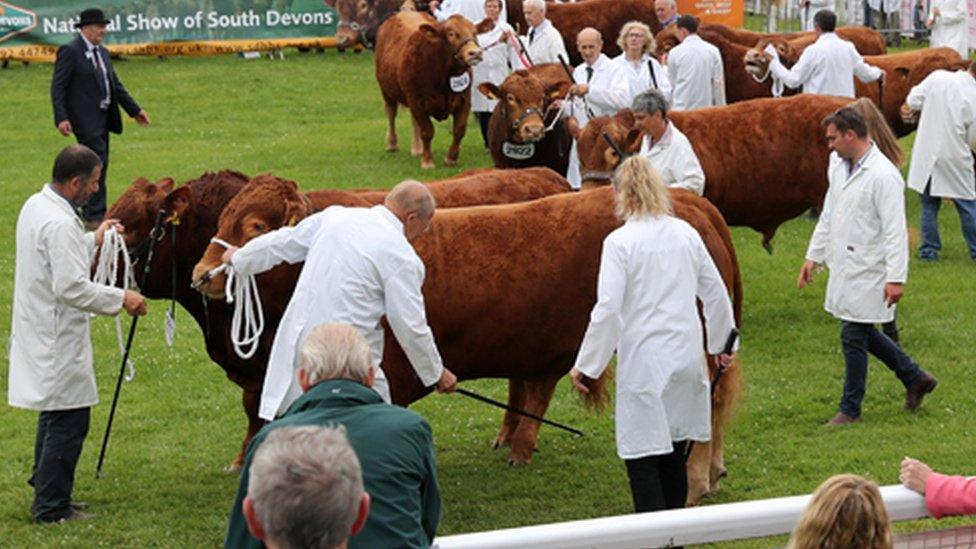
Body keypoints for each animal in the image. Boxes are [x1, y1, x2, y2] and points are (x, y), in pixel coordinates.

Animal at [374, 12, 484, 167]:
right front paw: (427, 161)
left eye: (475, 32)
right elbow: (427, 131)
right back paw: (392, 144)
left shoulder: (464, 99)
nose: (475, 53)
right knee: (391, 113)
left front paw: (451, 158)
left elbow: (459, 130)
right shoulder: (417, 101)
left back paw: (417, 148)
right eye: (451, 33)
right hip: (387, 90)